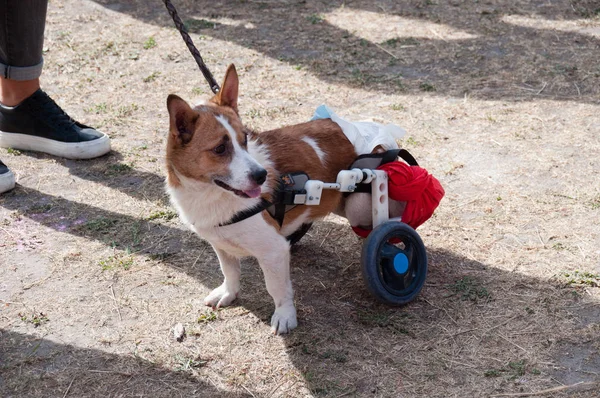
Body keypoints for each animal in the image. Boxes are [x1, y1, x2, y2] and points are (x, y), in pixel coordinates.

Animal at [165, 64, 356, 332]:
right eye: (220, 149)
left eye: (245, 139)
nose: (261, 175)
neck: (212, 195)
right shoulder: (220, 244)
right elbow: (229, 271)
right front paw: (228, 292)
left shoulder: (273, 250)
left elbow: (276, 287)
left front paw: (285, 315)